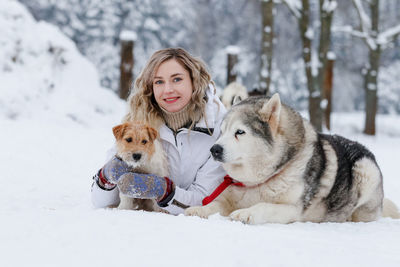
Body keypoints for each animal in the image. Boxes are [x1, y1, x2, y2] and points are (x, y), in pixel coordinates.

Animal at [186, 95, 398, 225]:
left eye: (240, 132)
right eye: (221, 132)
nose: (214, 149)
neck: (260, 181)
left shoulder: (292, 210)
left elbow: (264, 206)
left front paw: (246, 213)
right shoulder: (228, 198)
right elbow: (214, 204)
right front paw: (197, 209)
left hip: (365, 170)